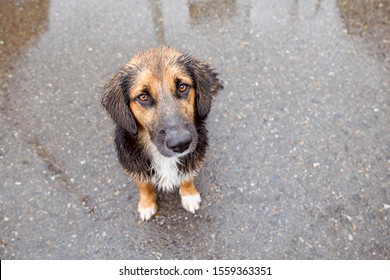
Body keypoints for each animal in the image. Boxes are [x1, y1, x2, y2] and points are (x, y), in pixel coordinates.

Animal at [100, 46, 222, 221]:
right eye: (143, 97)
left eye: (182, 87)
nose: (180, 144)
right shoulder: (133, 165)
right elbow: (144, 186)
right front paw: (146, 204)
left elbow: (187, 177)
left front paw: (189, 195)